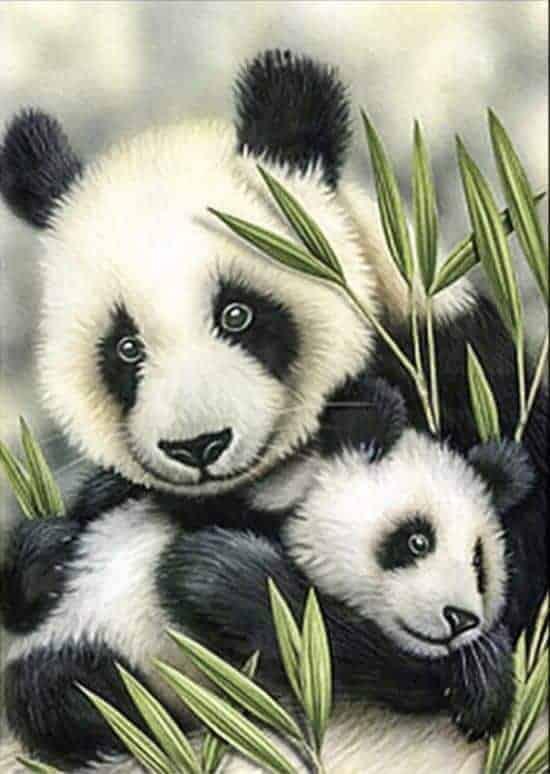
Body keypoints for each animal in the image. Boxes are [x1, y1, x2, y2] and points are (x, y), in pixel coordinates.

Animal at [1, 381, 533, 771]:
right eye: (417, 540)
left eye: (480, 563)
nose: (461, 618)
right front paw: (209, 566)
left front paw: (481, 676)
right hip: (86, 650)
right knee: (64, 691)